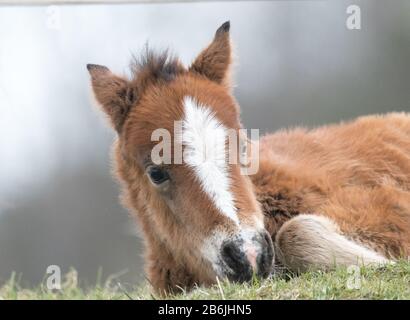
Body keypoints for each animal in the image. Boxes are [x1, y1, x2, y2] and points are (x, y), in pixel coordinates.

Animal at [87, 21, 410, 294]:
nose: (250, 255)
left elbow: (297, 232)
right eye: (156, 173)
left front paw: (387, 266)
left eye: (243, 147)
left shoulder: (385, 209)